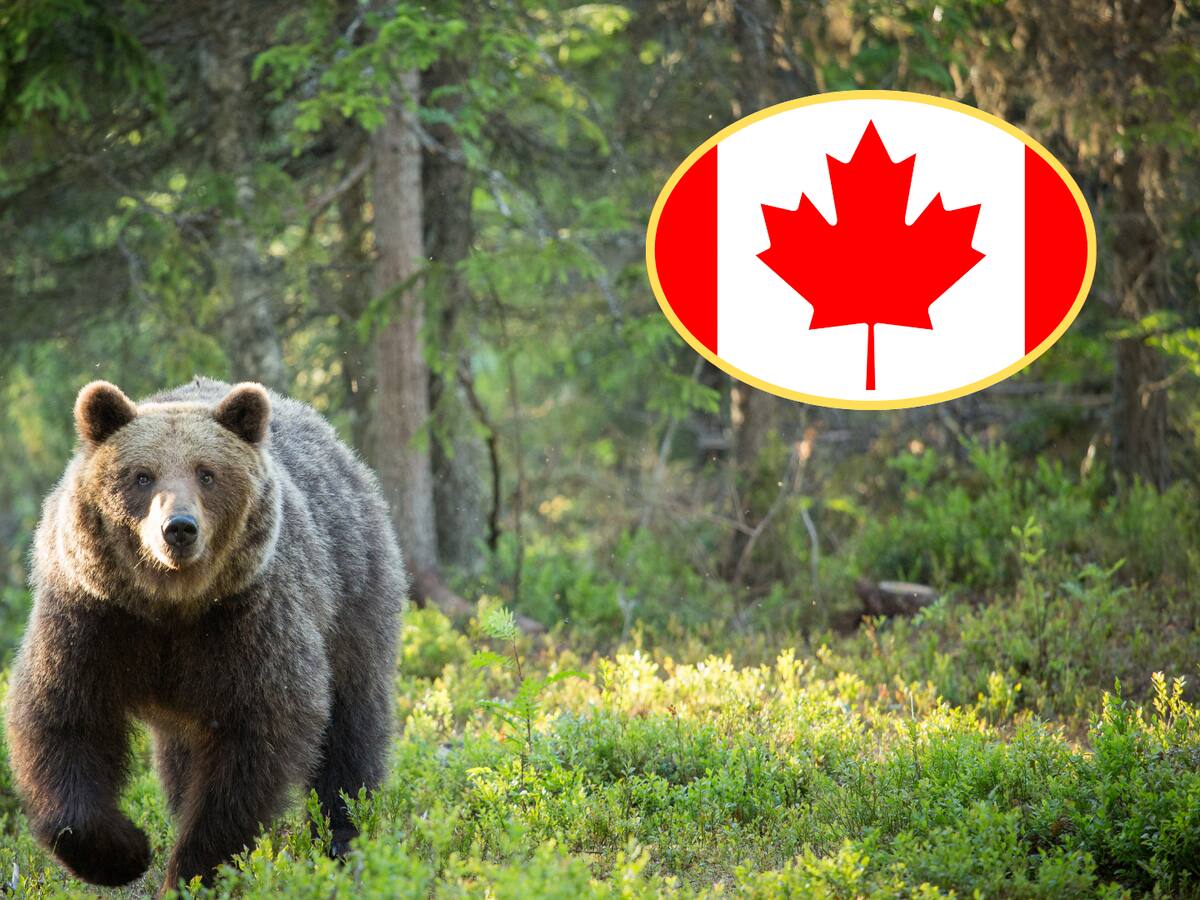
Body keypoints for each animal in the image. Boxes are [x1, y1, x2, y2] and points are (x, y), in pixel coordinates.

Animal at [5, 377, 407, 891]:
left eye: (207, 473)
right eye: (142, 475)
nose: (178, 528)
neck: (171, 606)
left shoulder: (248, 622)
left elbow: (254, 742)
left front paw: (193, 869)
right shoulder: (93, 618)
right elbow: (63, 719)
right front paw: (125, 851)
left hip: (352, 596)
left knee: (351, 726)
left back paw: (344, 837)